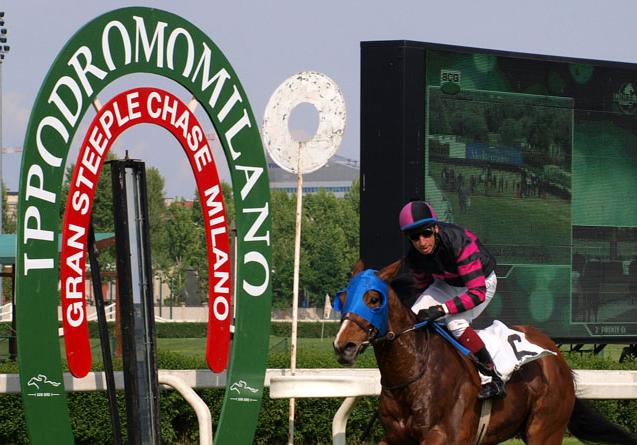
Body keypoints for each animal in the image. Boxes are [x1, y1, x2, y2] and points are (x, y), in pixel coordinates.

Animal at [332, 260, 636, 444]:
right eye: (343, 297)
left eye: (373, 299)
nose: (342, 346)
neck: (413, 375)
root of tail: (557, 357)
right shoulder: (394, 437)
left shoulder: (444, 437)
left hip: (545, 430)